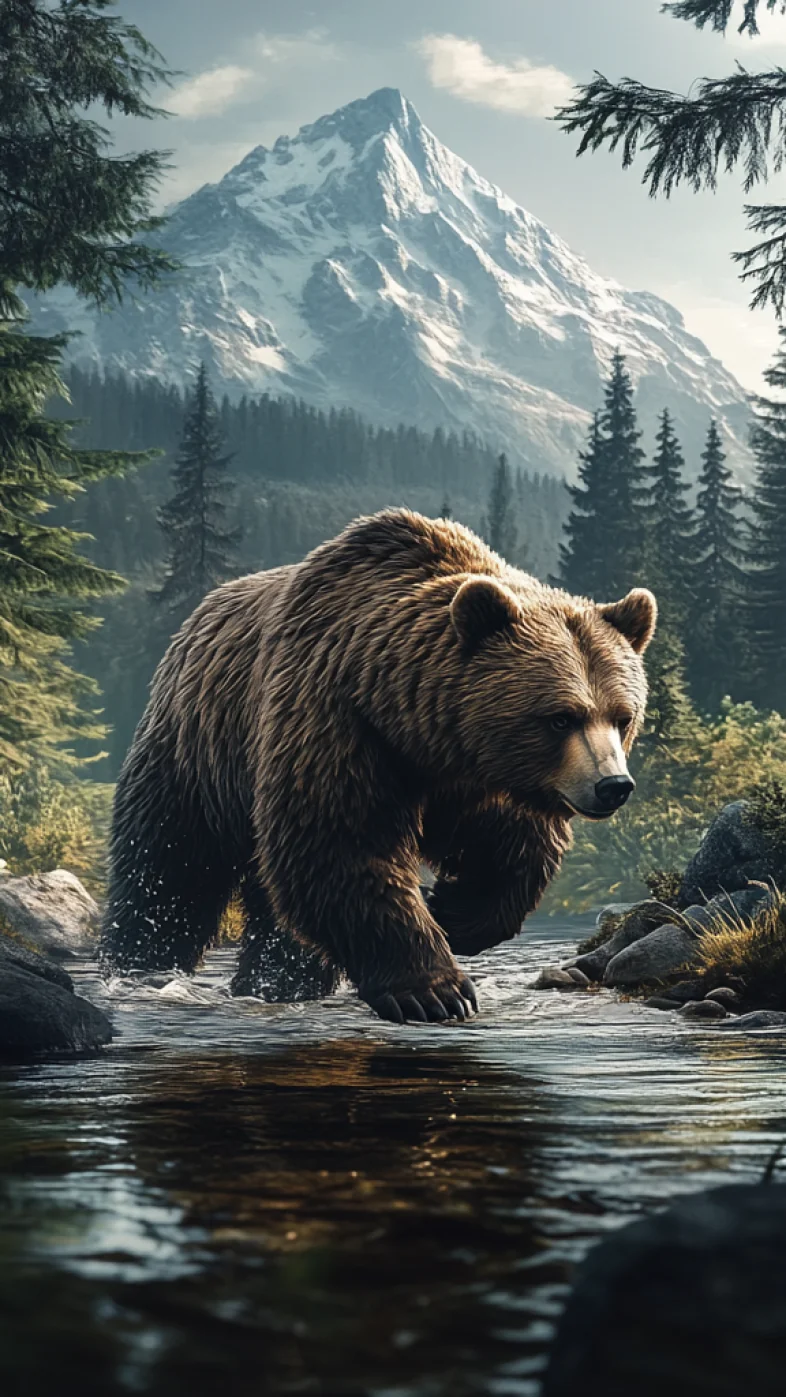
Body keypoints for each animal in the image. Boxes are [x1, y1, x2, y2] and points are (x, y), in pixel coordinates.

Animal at [101, 509, 656, 1024]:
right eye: (560, 717)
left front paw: (448, 909)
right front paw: (433, 991)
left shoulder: (473, 775)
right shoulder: (337, 721)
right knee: (170, 867)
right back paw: (141, 965)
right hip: (198, 751)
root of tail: (197, 615)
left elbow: (509, 850)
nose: (612, 785)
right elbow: (341, 847)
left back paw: (275, 980)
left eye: (622, 716)